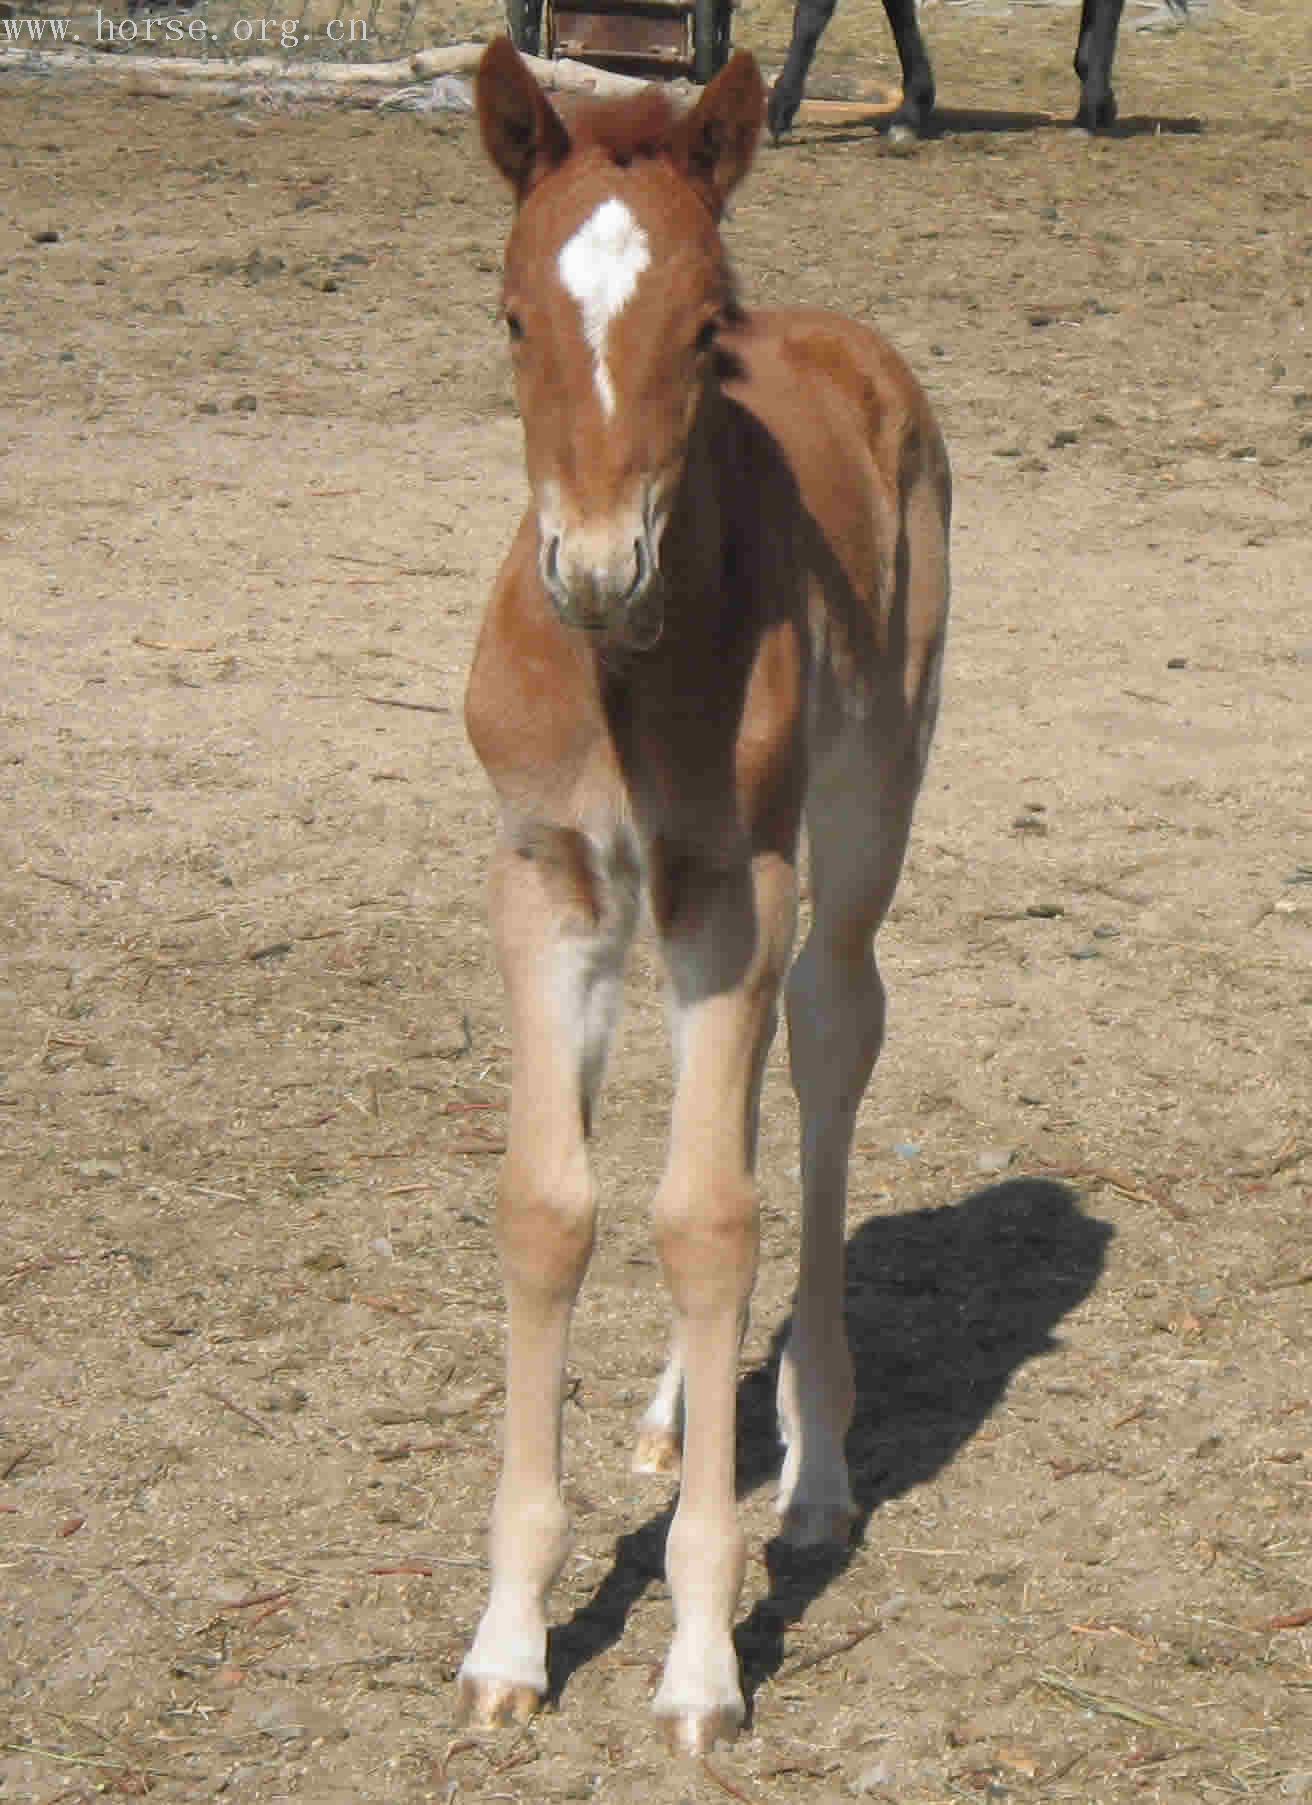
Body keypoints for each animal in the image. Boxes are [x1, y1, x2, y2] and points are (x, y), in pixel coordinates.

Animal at [456, 38, 952, 1747]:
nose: (596, 569)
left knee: (827, 1053)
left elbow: (713, 1222)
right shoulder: (545, 882)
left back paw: (812, 1468)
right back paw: (683, 1426)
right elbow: (555, 1208)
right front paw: (510, 1642)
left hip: (854, 830)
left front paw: (699, 1660)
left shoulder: (745, 883)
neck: (624, 672)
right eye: (513, 314)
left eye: (697, 329)